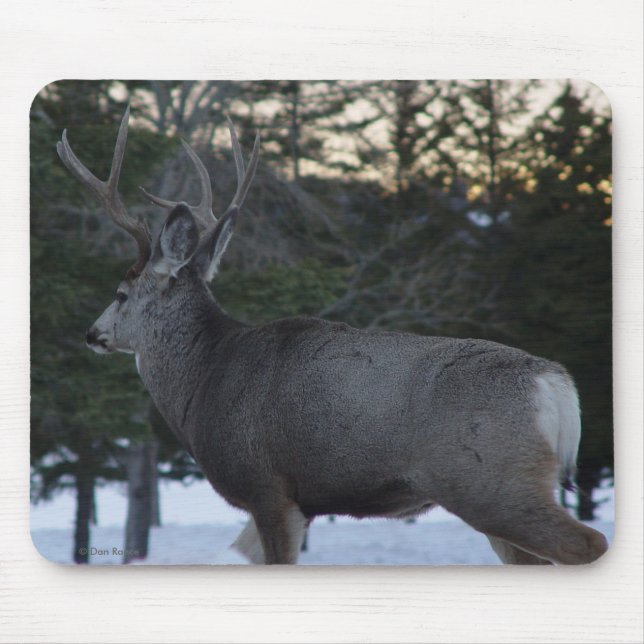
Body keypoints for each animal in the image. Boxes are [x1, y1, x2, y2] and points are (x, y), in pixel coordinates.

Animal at [57, 106, 608, 565]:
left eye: (121, 293)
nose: (91, 334)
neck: (205, 378)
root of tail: (555, 383)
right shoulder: (297, 502)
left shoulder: (267, 486)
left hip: (490, 481)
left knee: (588, 543)